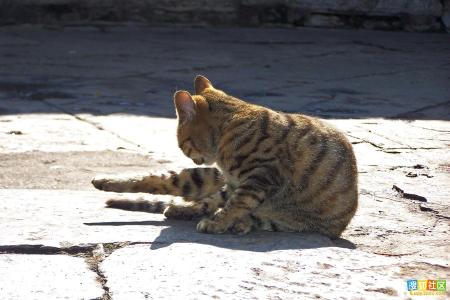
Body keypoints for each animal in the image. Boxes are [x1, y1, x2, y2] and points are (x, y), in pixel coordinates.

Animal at [92, 75, 358, 237]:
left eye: (182, 144)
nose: (191, 157)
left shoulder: (261, 175)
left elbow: (236, 204)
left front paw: (218, 223)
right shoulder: (236, 182)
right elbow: (225, 202)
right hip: (207, 179)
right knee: (174, 187)